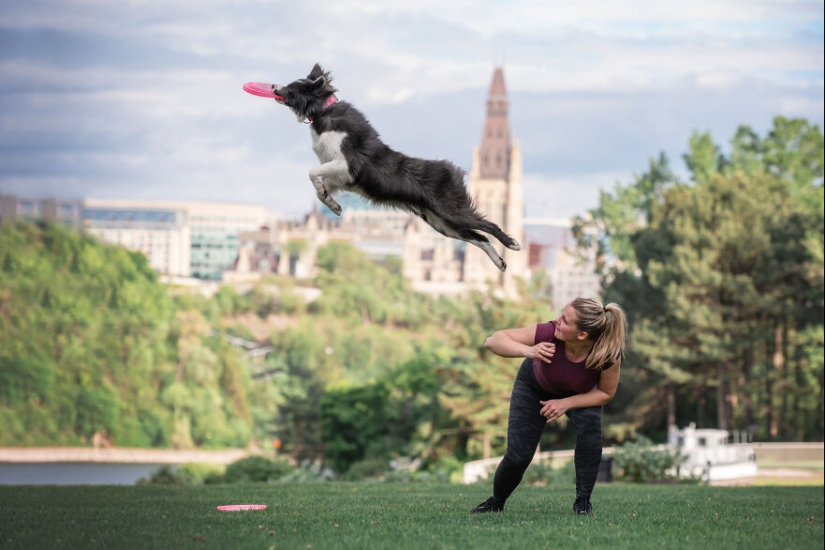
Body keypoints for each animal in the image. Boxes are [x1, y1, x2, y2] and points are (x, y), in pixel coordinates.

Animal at [268, 64, 520, 272]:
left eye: (292, 88)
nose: (272, 85)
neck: (324, 111)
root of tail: (453, 171)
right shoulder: (338, 175)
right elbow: (319, 189)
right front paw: (333, 204)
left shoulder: (346, 164)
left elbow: (311, 172)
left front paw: (330, 200)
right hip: (442, 224)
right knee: (480, 238)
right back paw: (500, 262)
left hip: (452, 212)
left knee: (489, 226)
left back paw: (513, 244)